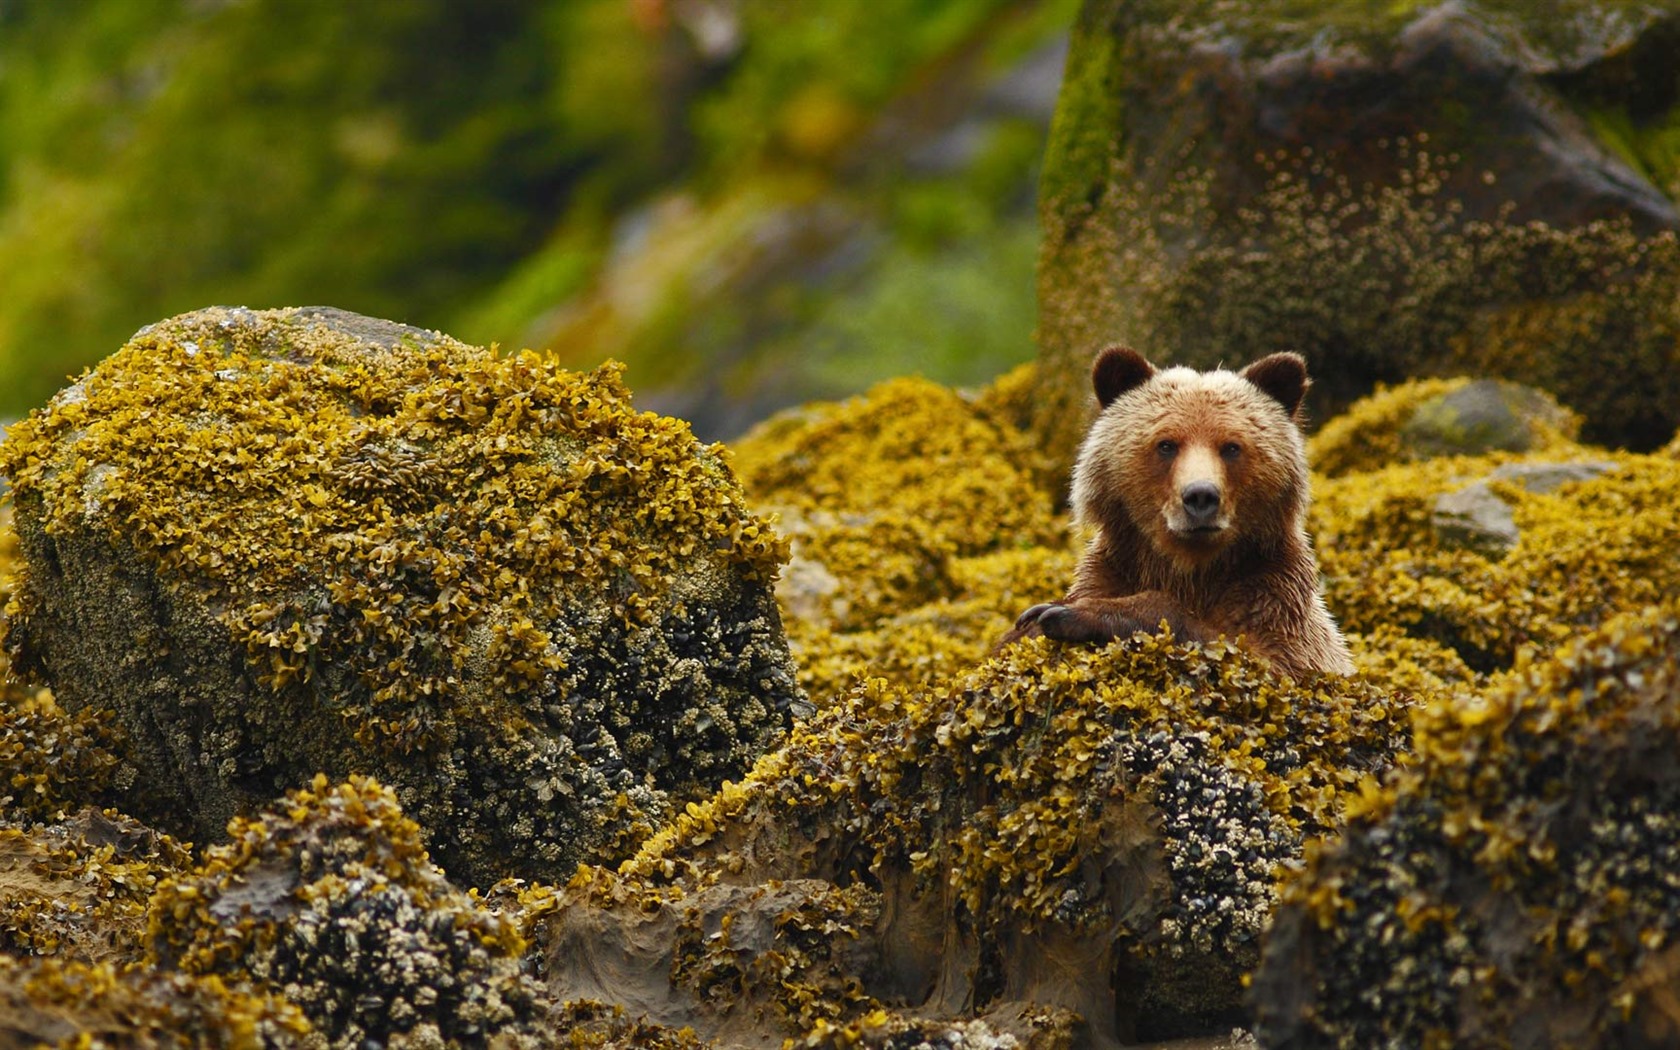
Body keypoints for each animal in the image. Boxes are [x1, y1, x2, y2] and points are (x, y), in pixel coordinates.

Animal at [1001, 344, 1357, 678]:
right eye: (1166, 444)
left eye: (1231, 446)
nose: (1200, 496)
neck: (1190, 569)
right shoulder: (1114, 568)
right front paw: (1033, 618)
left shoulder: (1275, 597)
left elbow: (1259, 657)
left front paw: (1063, 614)